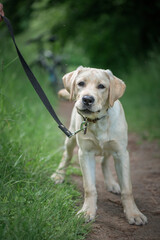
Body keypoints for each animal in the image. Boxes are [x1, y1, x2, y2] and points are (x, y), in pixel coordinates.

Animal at [51, 65, 148, 225]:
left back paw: (111, 183)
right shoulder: (85, 154)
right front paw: (87, 211)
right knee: (66, 155)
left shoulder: (122, 153)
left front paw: (134, 213)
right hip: (71, 137)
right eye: (81, 83)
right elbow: (90, 187)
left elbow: (127, 189)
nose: (87, 99)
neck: (97, 120)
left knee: (104, 160)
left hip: (110, 147)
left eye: (101, 86)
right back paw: (59, 175)